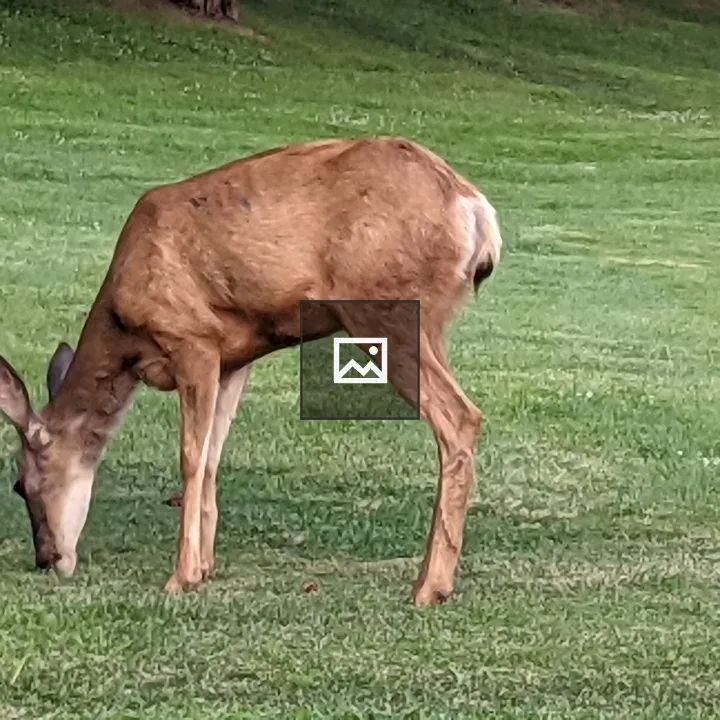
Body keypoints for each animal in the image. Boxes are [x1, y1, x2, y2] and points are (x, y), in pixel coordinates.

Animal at [0, 136, 502, 606]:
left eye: (20, 485)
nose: (47, 559)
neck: (124, 330)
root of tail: (477, 211)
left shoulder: (192, 338)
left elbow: (190, 457)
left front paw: (180, 577)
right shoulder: (234, 360)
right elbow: (213, 456)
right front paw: (204, 568)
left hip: (384, 310)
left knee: (460, 417)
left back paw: (429, 587)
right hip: (431, 324)